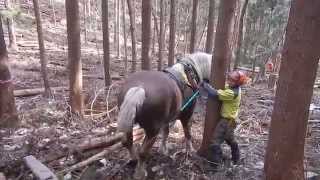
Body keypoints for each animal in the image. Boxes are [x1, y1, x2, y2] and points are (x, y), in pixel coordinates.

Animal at [116, 51, 211, 179]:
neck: (190, 74)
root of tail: (138, 89)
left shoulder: (166, 120)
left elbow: (166, 133)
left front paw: (163, 150)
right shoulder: (186, 116)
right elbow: (188, 133)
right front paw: (190, 150)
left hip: (131, 125)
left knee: (128, 142)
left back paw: (134, 160)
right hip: (152, 131)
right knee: (143, 152)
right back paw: (140, 173)